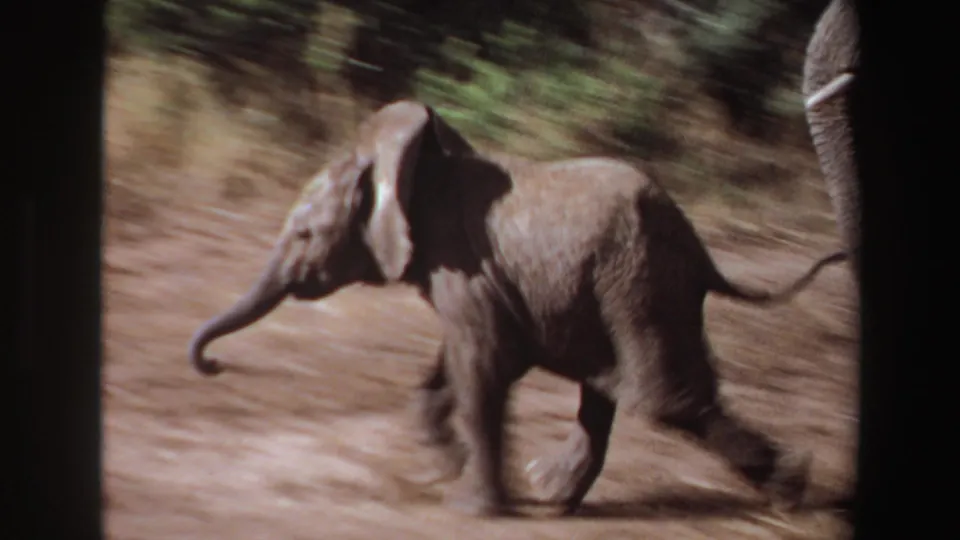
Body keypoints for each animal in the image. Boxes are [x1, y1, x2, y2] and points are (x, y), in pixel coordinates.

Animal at [188, 100, 847, 517]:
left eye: (303, 234)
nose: (214, 365)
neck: (415, 169)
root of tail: (700, 247)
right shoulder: (477, 280)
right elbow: (459, 362)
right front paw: (447, 466)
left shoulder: (463, 263)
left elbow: (482, 364)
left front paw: (468, 507)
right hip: (620, 285)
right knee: (607, 385)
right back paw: (556, 497)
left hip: (639, 279)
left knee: (663, 397)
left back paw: (789, 493)